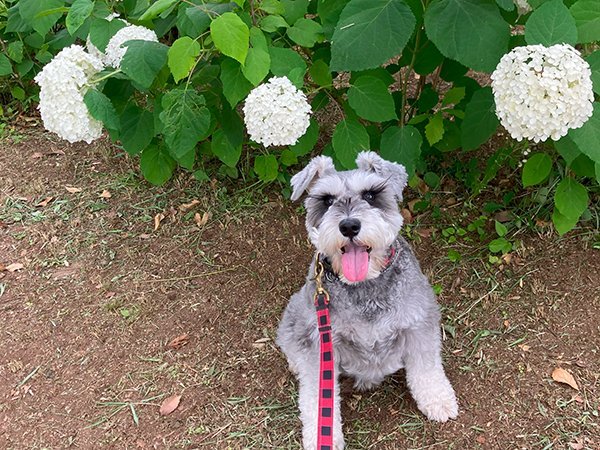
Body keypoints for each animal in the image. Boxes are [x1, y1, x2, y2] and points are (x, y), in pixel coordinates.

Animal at [276, 153, 460, 448]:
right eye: (327, 200)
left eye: (371, 194)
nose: (349, 226)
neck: (365, 285)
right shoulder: (319, 346)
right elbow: (316, 397)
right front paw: (323, 438)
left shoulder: (419, 323)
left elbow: (427, 368)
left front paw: (438, 400)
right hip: (295, 314)